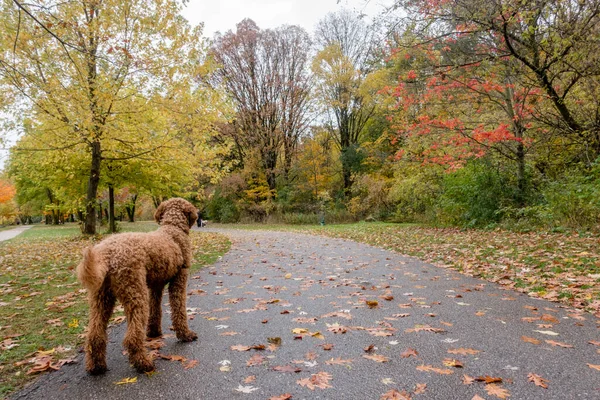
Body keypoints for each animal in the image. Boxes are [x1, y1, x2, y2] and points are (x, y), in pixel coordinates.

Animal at [76, 198, 199, 374]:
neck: (172, 228)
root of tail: (108, 253)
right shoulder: (179, 281)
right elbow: (179, 311)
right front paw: (185, 334)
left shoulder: (155, 286)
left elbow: (155, 310)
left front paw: (154, 332)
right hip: (135, 294)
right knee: (132, 337)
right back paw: (143, 363)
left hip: (101, 298)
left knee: (95, 334)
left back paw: (96, 366)